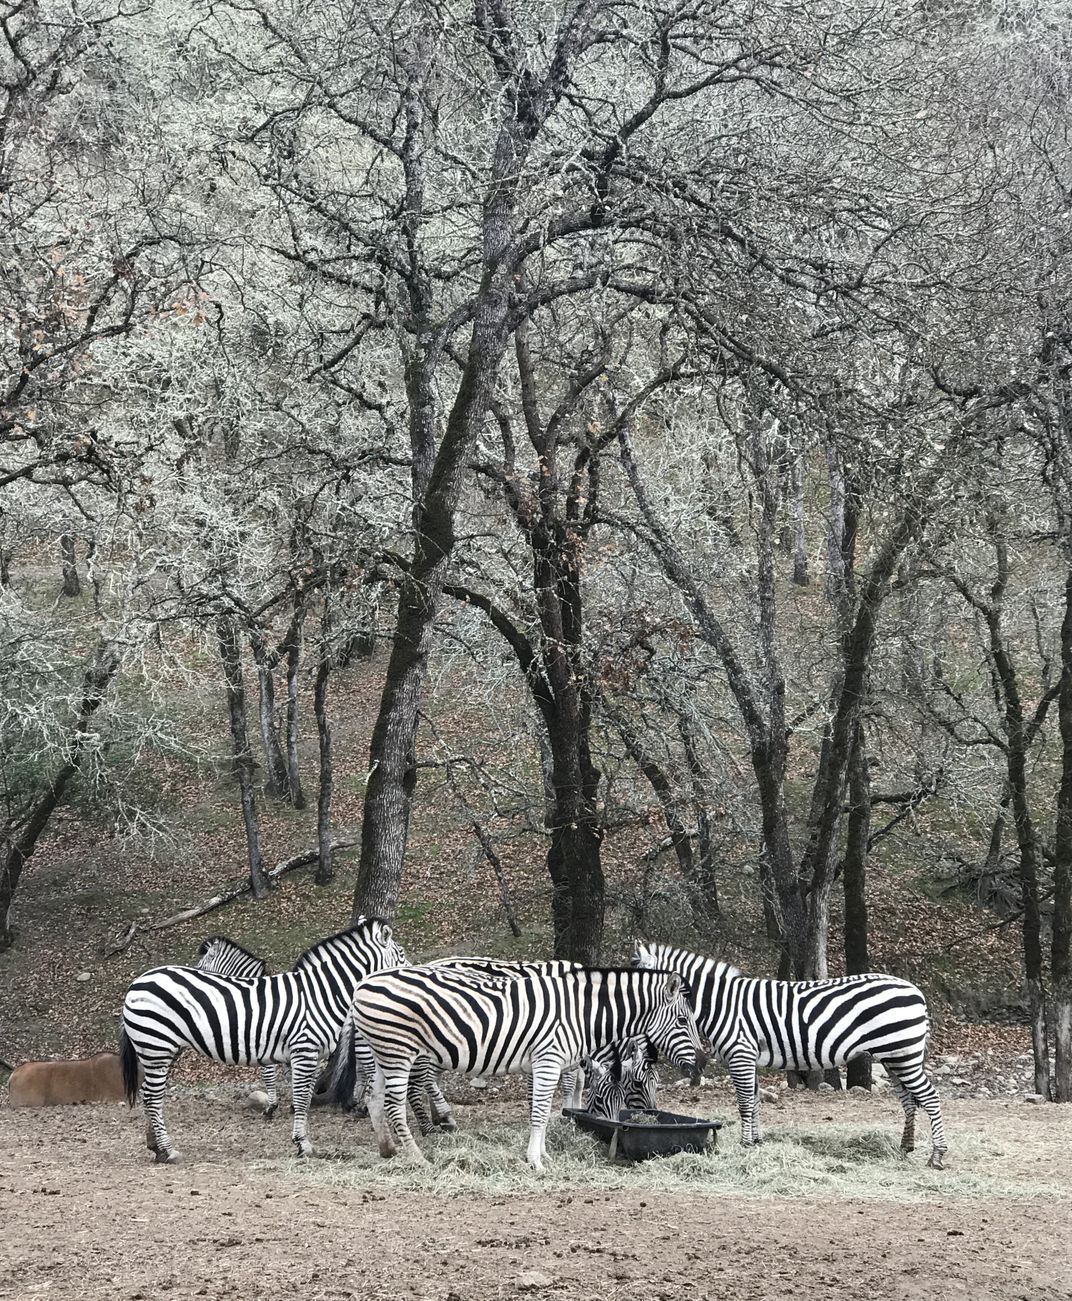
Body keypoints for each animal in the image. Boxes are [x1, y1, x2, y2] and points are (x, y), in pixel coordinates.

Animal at [119, 919, 404, 1163]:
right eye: (401, 954)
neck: (321, 993)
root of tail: (136, 983)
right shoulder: (302, 1050)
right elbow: (299, 1095)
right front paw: (302, 1143)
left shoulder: (302, 1053)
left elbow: (303, 1094)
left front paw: (298, 1133)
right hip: (157, 1045)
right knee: (152, 1096)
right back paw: (168, 1150)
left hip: (161, 1048)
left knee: (149, 1094)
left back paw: (156, 1147)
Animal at [352, 964, 705, 1169]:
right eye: (683, 1021)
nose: (702, 1064)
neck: (581, 1013)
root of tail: (364, 982)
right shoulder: (548, 1060)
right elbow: (539, 1113)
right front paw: (536, 1161)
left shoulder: (546, 1064)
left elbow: (545, 1112)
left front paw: (544, 1154)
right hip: (399, 1051)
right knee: (394, 1104)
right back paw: (417, 1157)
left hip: (384, 1051)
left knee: (374, 1096)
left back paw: (388, 1149)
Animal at [633, 941, 947, 1168]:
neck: (722, 1005)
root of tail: (917, 992)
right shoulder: (750, 1058)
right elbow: (755, 1101)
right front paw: (756, 1142)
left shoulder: (740, 1054)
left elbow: (744, 1103)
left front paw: (745, 1144)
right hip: (893, 1057)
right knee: (909, 1100)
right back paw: (905, 1147)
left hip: (903, 1054)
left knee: (930, 1097)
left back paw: (937, 1156)